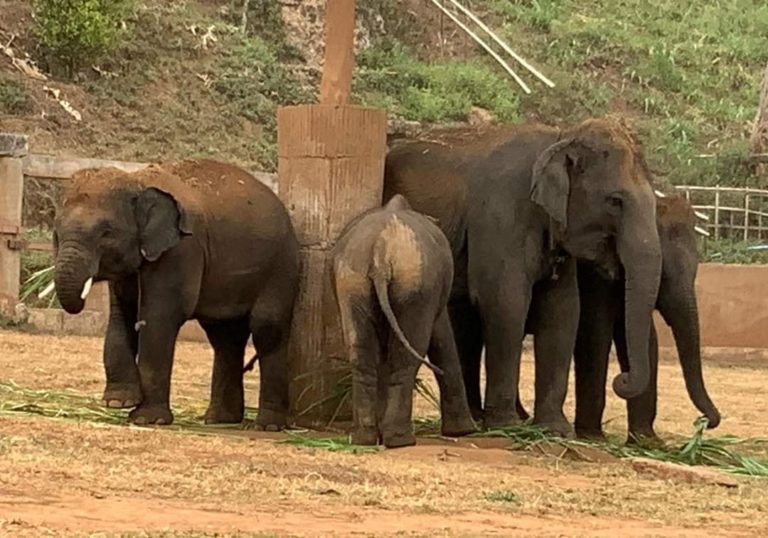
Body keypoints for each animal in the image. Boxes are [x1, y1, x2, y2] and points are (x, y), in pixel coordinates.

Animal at [53, 158, 300, 428]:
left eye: (106, 233)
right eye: (56, 233)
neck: (136, 180)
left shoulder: (181, 250)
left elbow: (159, 317)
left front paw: (146, 419)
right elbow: (122, 315)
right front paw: (119, 402)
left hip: (281, 266)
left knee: (265, 327)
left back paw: (268, 425)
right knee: (225, 337)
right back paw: (219, 419)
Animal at [332, 195, 476, 446]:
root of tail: (380, 252)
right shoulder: (432, 294)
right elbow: (441, 336)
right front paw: (464, 432)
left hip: (353, 281)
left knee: (361, 352)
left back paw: (364, 438)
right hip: (413, 286)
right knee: (406, 356)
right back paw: (401, 440)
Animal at [388, 116, 664, 432]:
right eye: (615, 201)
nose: (622, 379)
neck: (559, 138)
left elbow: (563, 310)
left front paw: (554, 429)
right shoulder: (501, 214)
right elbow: (505, 303)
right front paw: (506, 425)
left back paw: (477, 418)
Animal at [572, 193, 724, 440]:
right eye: (663, 274)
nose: (704, 421)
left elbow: (644, 338)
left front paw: (647, 442)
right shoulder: (594, 273)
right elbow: (596, 330)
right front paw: (592, 437)